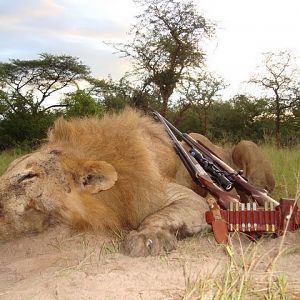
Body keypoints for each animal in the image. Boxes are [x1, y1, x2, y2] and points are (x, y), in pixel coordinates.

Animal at [0, 108, 274, 255]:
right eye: (8, 170)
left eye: (28, 176)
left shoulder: (184, 196)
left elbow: (157, 215)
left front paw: (147, 237)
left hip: (245, 145)